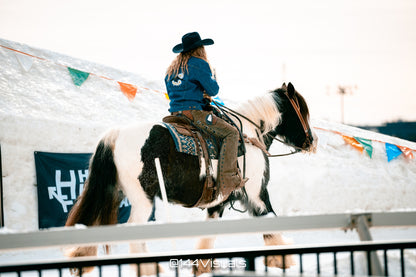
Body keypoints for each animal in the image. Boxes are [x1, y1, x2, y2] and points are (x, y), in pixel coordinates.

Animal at [66, 82, 316, 274]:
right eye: (302, 111)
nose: (312, 141)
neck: (250, 135)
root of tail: (116, 134)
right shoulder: (257, 194)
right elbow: (271, 223)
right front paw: (283, 260)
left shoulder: (220, 203)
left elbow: (208, 238)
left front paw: (202, 267)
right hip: (142, 200)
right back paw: (148, 269)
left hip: (115, 193)